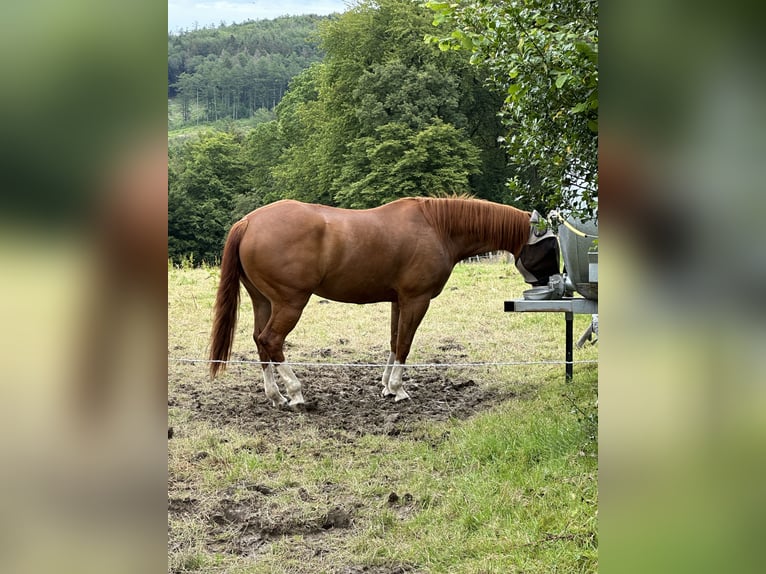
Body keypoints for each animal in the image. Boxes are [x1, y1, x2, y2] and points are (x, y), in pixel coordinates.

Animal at [209, 196, 558, 406]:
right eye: (551, 248)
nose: (554, 283)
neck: (437, 227)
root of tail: (248, 222)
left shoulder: (397, 301)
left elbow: (393, 341)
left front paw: (387, 385)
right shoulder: (416, 300)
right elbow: (404, 344)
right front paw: (400, 390)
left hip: (263, 301)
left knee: (260, 341)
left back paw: (276, 396)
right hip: (290, 303)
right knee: (272, 340)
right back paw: (295, 394)